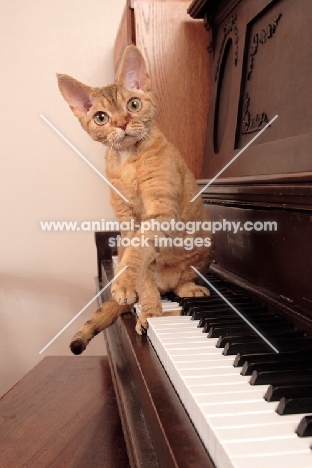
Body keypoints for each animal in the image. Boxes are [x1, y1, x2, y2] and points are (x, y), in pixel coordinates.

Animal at [57, 46, 213, 354]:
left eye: (133, 104)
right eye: (101, 117)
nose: (122, 122)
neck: (128, 160)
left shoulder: (161, 211)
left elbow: (138, 252)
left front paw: (127, 285)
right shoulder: (127, 221)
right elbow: (138, 266)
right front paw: (145, 308)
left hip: (204, 243)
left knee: (181, 281)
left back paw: (187, 288)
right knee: (154, 283)